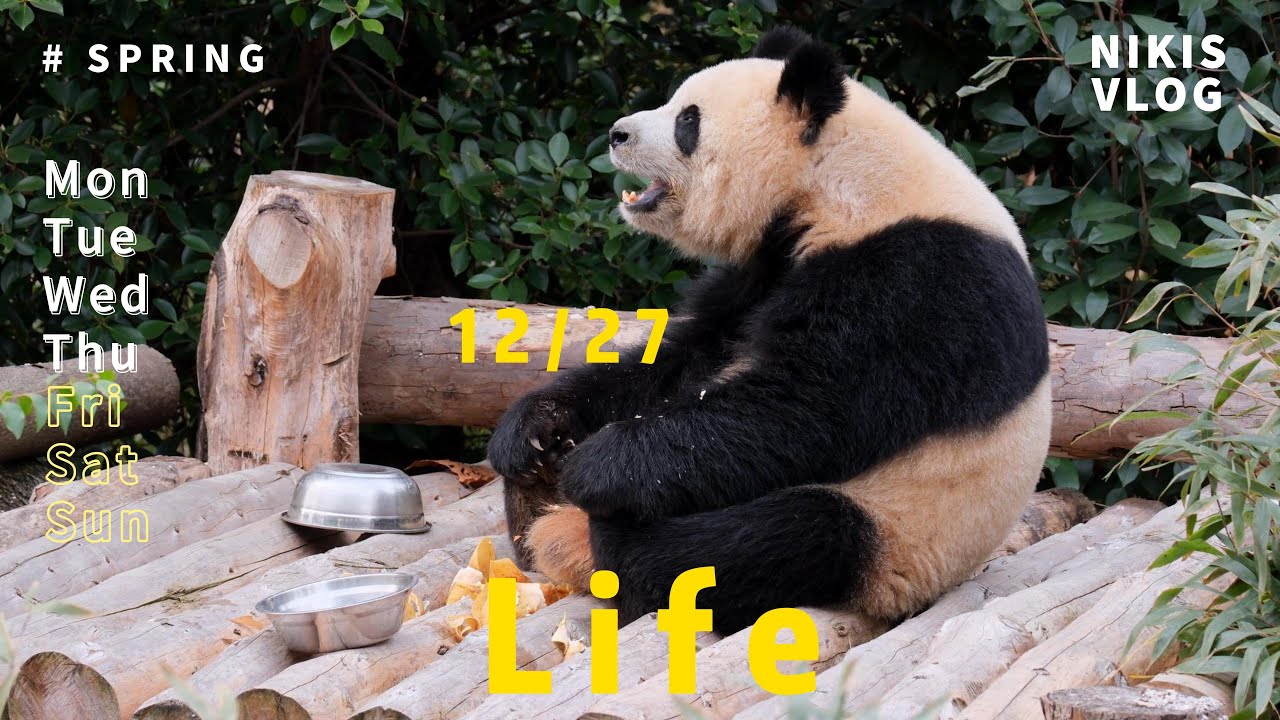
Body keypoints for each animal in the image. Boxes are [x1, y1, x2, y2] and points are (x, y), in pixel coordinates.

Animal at [487, 26, 1051, 634]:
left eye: (687, 121)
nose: (618, 134)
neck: (837, 178)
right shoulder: (765, 265)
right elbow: (685, 358)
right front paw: (536, 427)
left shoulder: (919, 280)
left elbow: (806, 406)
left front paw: (596, 467)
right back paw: (536, 498)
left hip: (903, 525)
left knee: (770, 541)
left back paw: (610, 540)